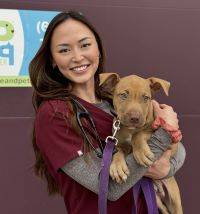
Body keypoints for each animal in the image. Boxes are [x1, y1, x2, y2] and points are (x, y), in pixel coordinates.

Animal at [99, 73, 183, 214]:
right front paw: (117, 167)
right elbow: (117, 152)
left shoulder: (171, 141)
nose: (135, 118)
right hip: (158, 201)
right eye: (123, 95)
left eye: (146, 98)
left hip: (174, 200)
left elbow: (138, 134)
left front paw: (141, 153)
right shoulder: (119, 142)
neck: (130, 129)